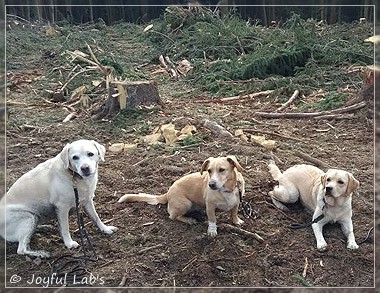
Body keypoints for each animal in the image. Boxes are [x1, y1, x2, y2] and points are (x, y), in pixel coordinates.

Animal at [117, 155, 245, 235]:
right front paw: (212, 231)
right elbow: (212, 220)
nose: (211, 184)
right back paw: (189, 220)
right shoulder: (210, 206)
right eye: (209, 171)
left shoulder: (236, 203)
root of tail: (168, 193)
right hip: (186, 203)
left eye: (222, 170)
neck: (226, 190)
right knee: (173, 217)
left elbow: (234, 212)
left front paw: (236, 221)